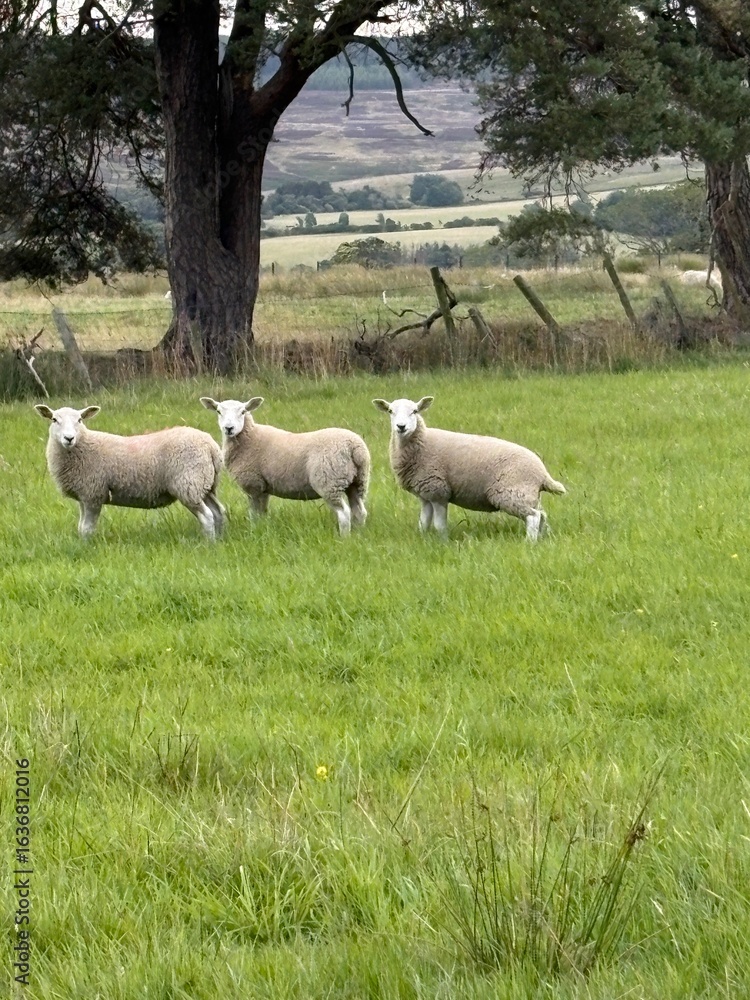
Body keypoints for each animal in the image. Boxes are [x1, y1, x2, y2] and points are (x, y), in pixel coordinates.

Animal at [35, 404, 225, 539]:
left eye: (80, 420)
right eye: (54, 419)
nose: (69, 438)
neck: (84, 445)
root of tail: (211, 446)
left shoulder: (93, 494)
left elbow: (87, 529)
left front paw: (86, 547)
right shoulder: (84, 495)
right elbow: (81, 527)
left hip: (188, 484)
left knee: (207, 516)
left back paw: (208, 543)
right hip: (205, 485)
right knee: (218, 512)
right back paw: (220, 539)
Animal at [200, 396, 370, 536]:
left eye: (243, 411)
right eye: (218, 411)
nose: (229, 428)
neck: (249, 438)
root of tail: (354, 447)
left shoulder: (253, 485)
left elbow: (254, 514)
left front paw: (254, 531)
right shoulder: (263, 487)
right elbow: (262, 513)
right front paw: (262, 529)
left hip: (329, 482)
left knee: (344, 513)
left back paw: (344, 538)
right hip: (358, 481)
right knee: (359, 511)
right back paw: (358, 535)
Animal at [372, 395, 566, 540]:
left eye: (414, 411)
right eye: (390, 411)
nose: (401, 427)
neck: (422, 443)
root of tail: (542, 473)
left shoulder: (438, 491)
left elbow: (439, 524)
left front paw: (443, 541)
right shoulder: (426, 495)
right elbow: (423, 522)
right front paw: (422, 539)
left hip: (512, 492)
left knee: (533, 517)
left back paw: (529, 542)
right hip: (529, 494)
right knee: (542, 515)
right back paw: (542, 538)